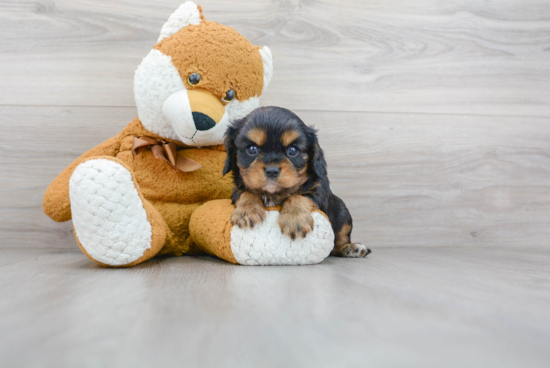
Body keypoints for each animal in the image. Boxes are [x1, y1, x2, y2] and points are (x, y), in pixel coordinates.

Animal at [223, 105, 370, 258]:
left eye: (293, 150)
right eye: (252, 149)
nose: (272, 170)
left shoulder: (318, 191)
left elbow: (298, 196)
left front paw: (295, 219)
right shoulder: (237, 189)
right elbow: (247, 193)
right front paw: (247, 211)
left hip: (343, 213)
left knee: (337, 242)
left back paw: (351, 248)